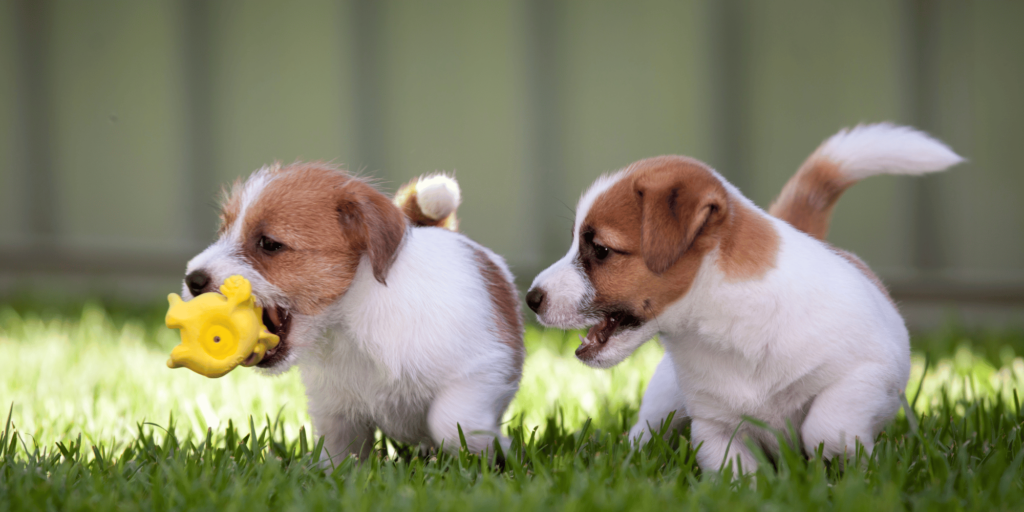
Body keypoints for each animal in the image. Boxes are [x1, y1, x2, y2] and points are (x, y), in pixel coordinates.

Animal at [180, 164, 524, 464]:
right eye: (223, 232)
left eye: (268, 244)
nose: (192, 280)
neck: (349, 324)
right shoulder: (335, 411)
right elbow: (339, 454)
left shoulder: (483, 371)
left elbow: (451, 423)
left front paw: (496, 449)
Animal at [524, 122, 962, 471]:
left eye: (600, 250)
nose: (530, 298)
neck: (727, 323)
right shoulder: (716, 428)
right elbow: (738, 477)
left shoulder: (871, 373)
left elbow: (826, 426)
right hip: (665, 400)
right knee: (644, 431)